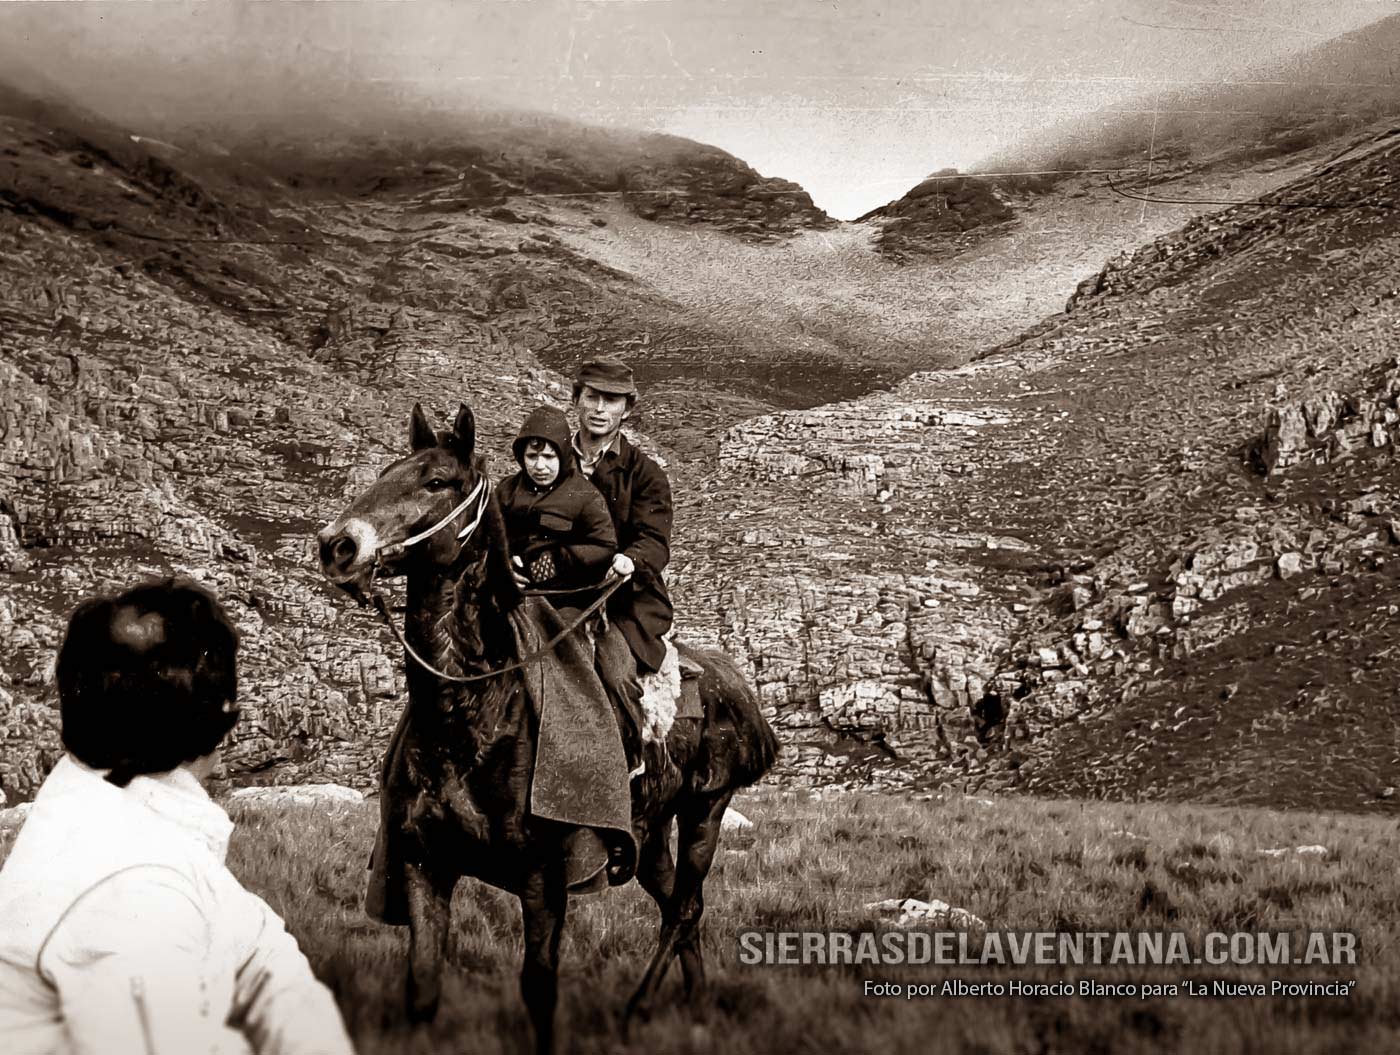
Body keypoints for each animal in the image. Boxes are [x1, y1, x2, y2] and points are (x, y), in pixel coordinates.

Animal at [315, 405, 778, 1052]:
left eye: (437, 482)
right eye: (386, 472)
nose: (337, 545)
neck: (475, 715)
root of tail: (730, 679)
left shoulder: (545, 879)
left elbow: (539, 990)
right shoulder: (423, 867)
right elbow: (422, 990)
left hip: (705, 810)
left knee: (684, 909)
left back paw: (638, 1009)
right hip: (650, 832)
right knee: (681, 908)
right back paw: (695, 1004)